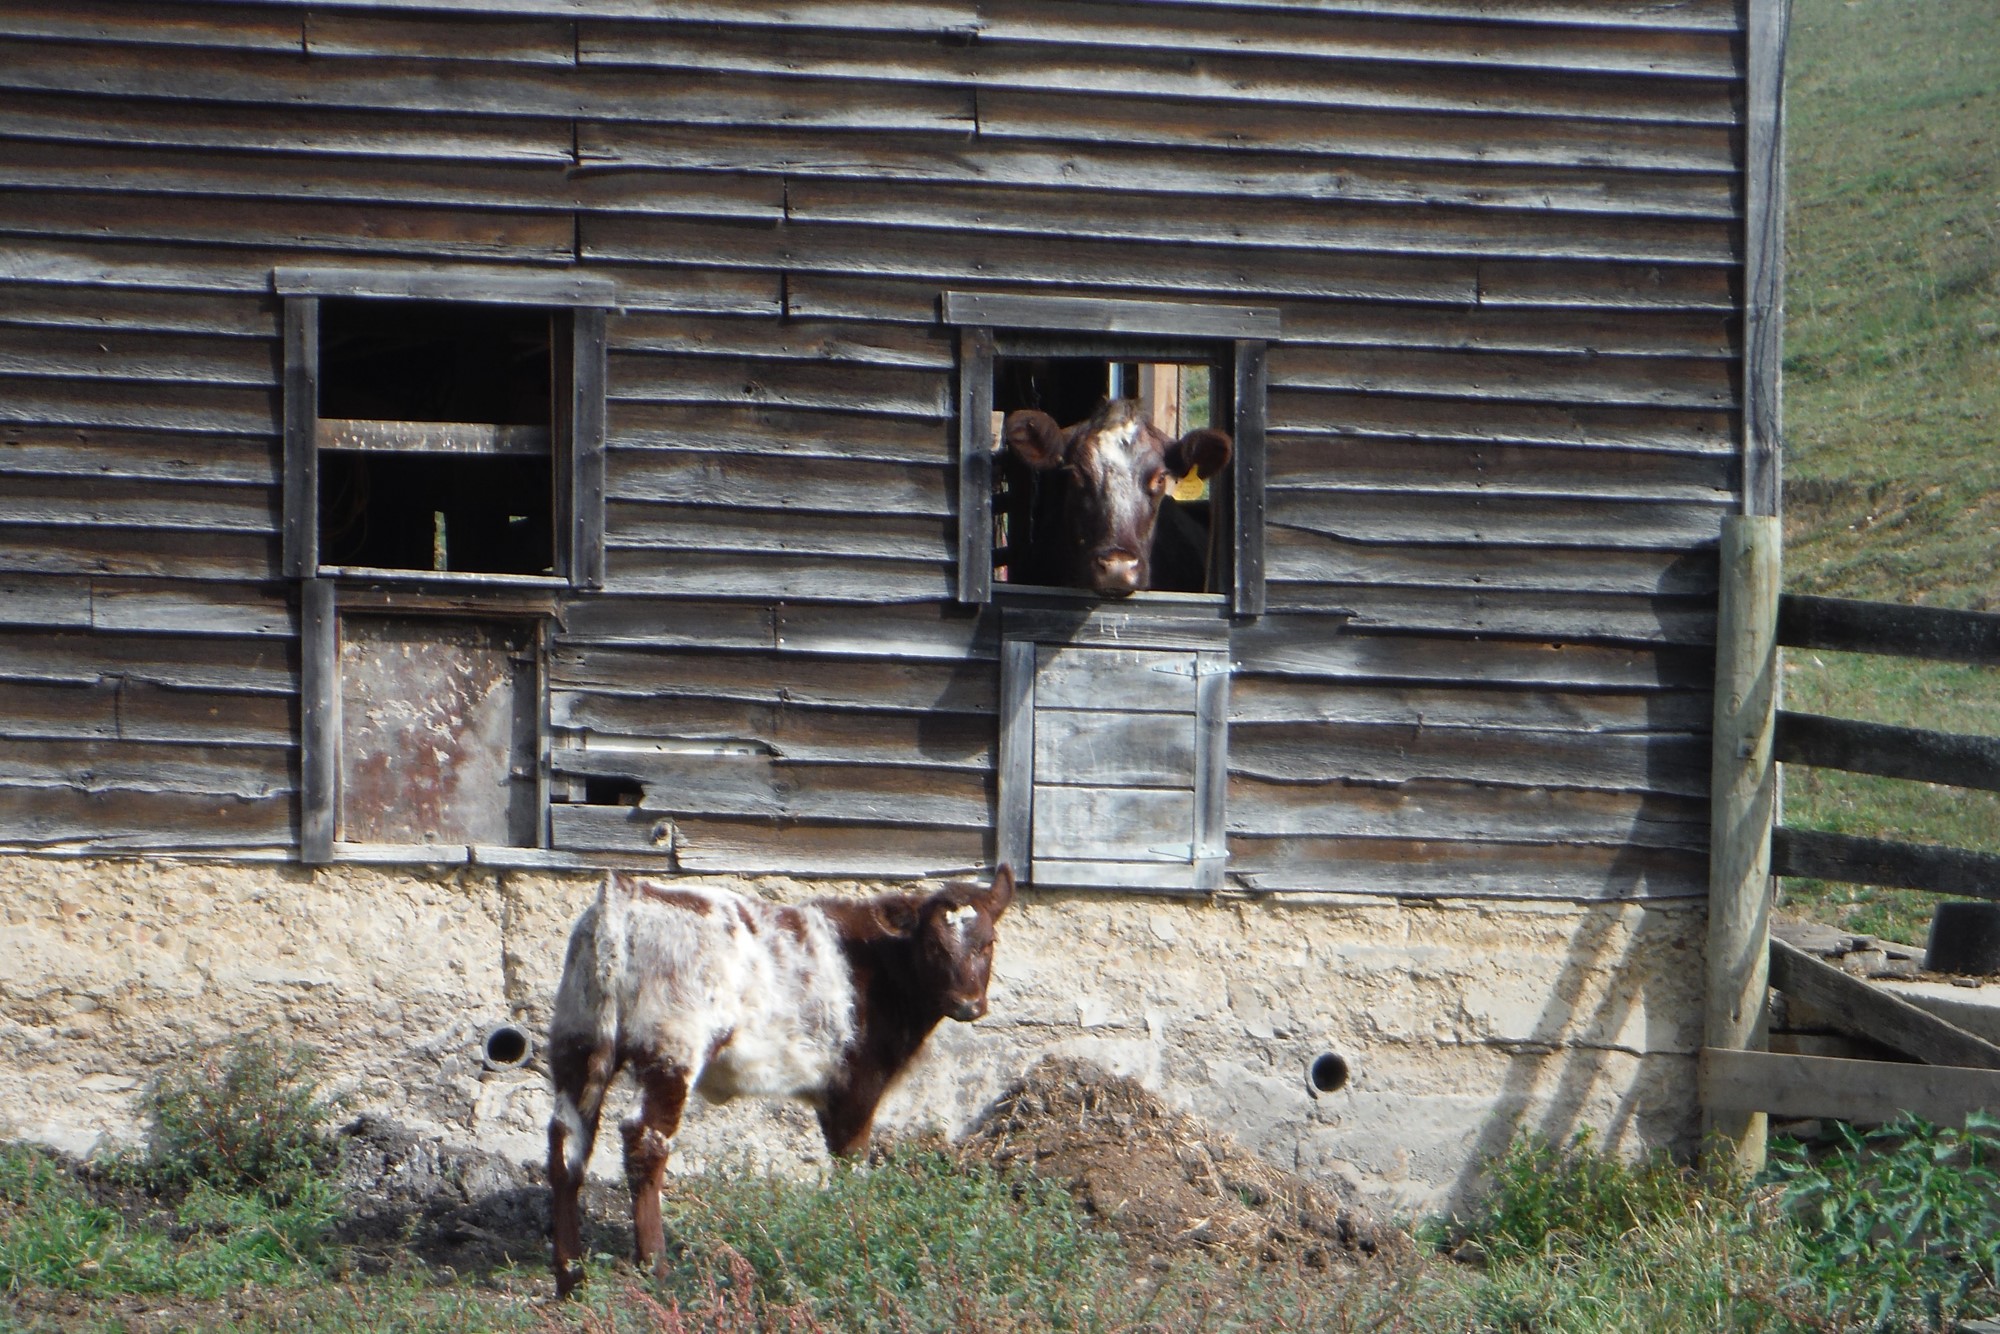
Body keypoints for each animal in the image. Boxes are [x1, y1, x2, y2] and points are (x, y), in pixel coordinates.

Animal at [544, 868, 1016, 1296]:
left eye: (989, 943)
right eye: (934, 946)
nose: (968, 1004)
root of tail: (625, 893)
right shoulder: (857, 1082)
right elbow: (852, 1161)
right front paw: (857, 1236)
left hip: (576, 1038)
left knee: (567, 1144)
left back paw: (571, 1279)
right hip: (671, 1051)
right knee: (644, 1140)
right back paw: (657, 1271)